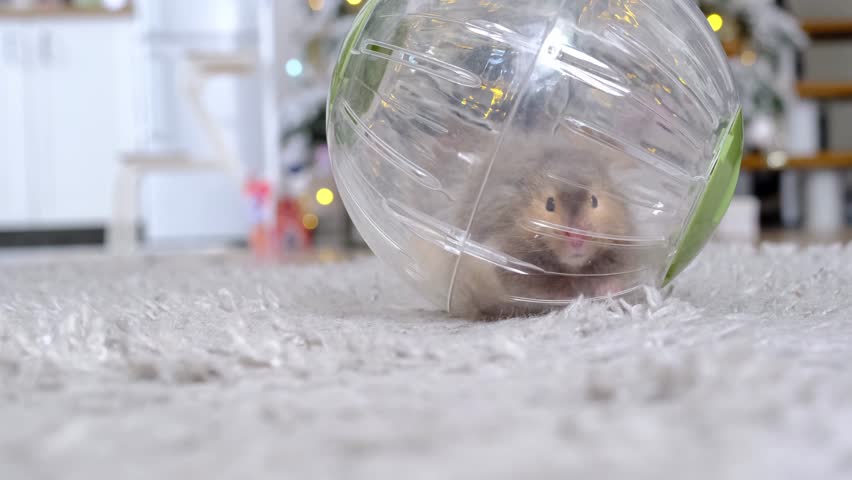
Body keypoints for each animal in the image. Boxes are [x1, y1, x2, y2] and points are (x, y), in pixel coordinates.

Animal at [446, 134, 636, 319]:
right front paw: (575, 298)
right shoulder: (514, 268)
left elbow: (612, 278)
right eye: (549, 204)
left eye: (594, 201)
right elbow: (550, 290)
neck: (572, 267)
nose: (577, 238)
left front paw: (609, 292)